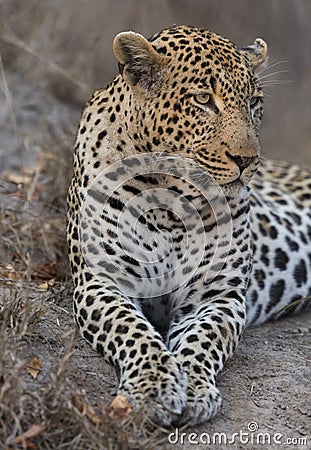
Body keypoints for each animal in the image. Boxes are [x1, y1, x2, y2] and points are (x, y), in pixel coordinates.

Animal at [66, 24, 311, 426]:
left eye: (254, 102)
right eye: (203, 99)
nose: (247, 160)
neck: (170, 203)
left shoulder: (216, 296)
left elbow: (203, 341)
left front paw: (194, 388)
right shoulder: (102, 282)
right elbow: (134, 332)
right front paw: (154, 387)